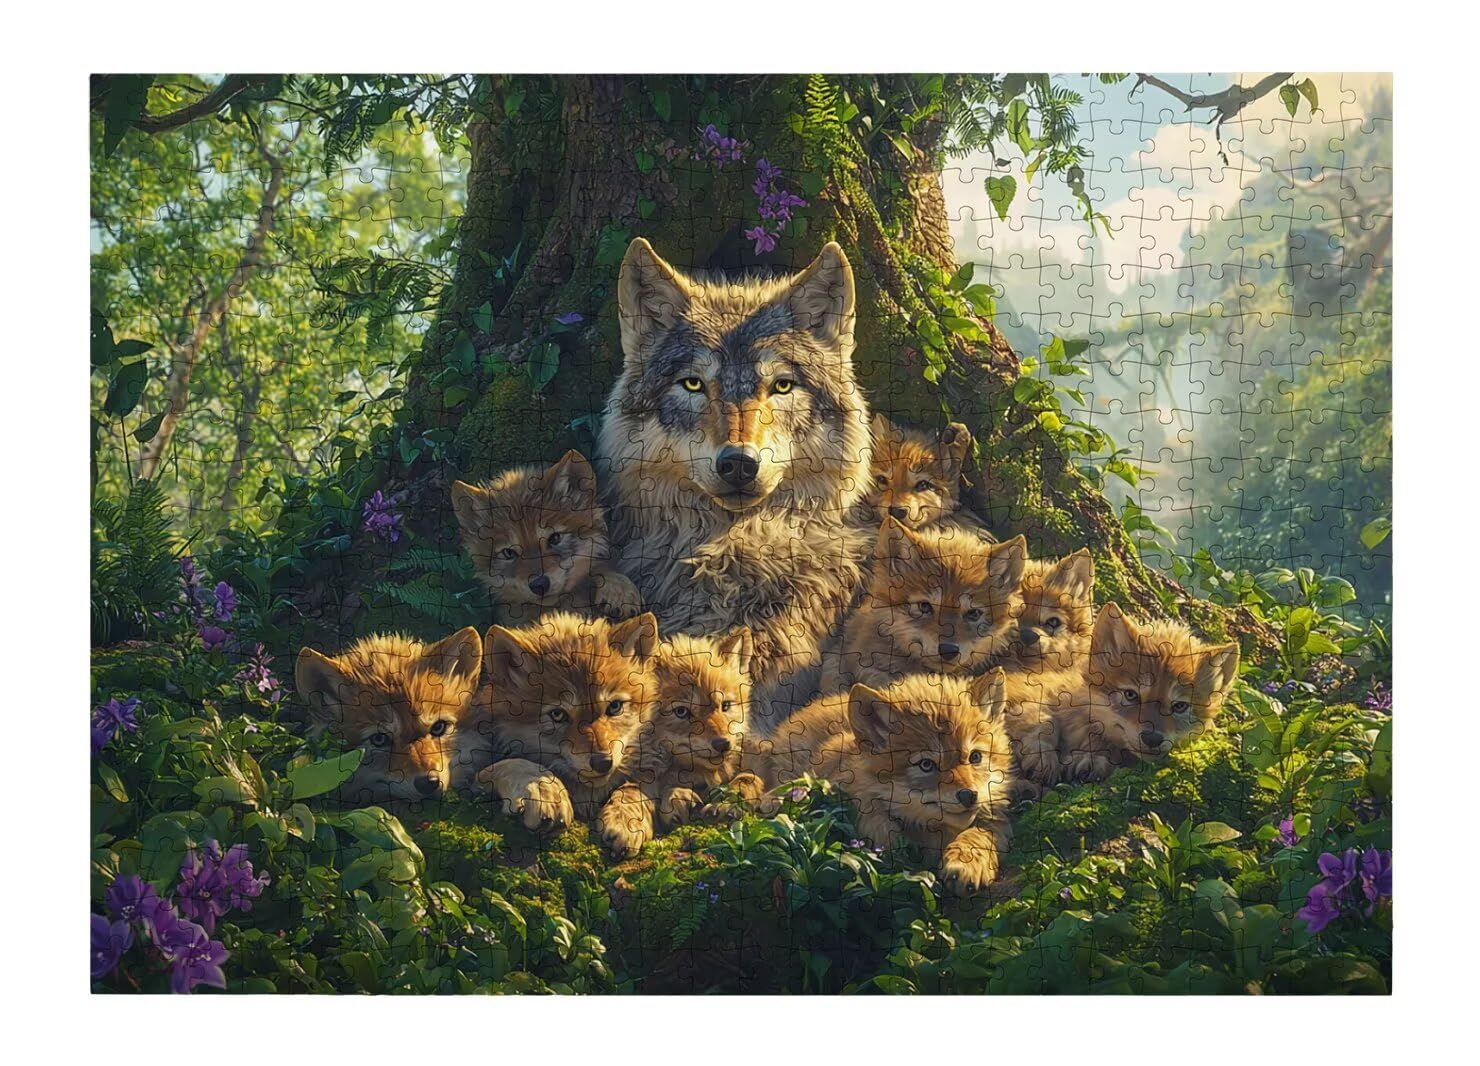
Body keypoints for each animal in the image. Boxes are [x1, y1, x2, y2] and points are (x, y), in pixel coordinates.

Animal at [767, 670, 1016, 896]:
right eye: (926, 764)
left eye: (975, 757)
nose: (968, 796)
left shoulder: (992, 818)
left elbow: (978, 835)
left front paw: (966, 863)